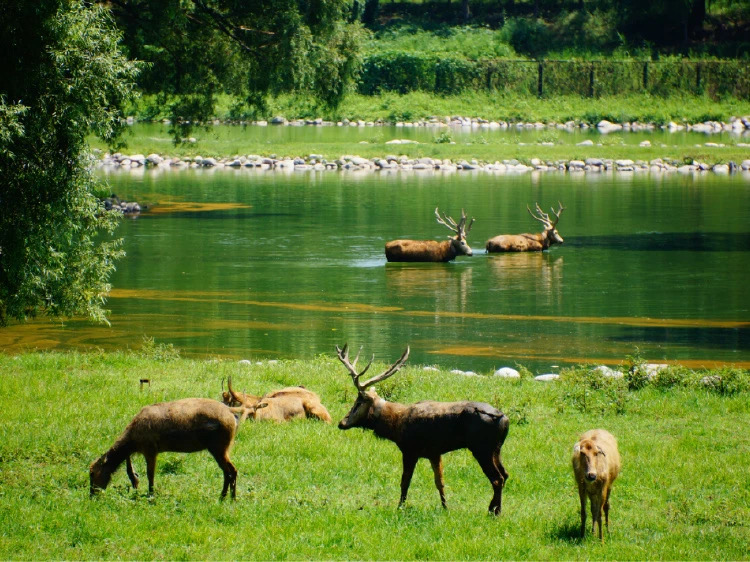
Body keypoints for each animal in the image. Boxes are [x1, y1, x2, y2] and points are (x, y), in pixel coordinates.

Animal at [89, 396, 262, 496]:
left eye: (92, 473)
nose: (92, 494)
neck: (132, 441)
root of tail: (232, 414)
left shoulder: (150, 449)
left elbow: (150, 474)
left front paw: (151, 495)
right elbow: (131, 469)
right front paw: (137, 485)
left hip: (219, 446)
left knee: (231, 470)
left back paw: (227, 497)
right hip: (223, 447)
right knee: (229, 471)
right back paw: (227, 497)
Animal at [338, 342, 516, 512]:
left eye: (358, 402)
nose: (342, 423)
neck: (395, 425)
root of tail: (504, 419)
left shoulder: (410, 449)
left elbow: (405, 481)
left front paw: (400, 507)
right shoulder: (434, 453)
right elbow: (440, 482)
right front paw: (445, 507)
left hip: (481, 447)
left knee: (497, 478)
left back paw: (493, 511)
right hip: (496, 449)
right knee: (505, 474)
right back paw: (495, 508)